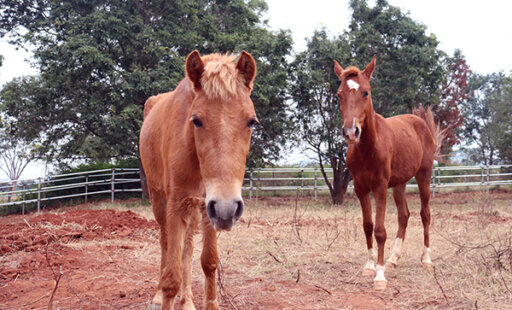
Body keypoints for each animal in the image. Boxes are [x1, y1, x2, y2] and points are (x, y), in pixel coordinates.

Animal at [140, 49, 258, 308]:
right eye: (196, 120)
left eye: (251, 121)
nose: (227, 206)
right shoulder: (176, 204)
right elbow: (171, 277)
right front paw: (165, 294)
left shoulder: (208, 207)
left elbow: (208, 261)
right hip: (159, 200)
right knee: (165, 243)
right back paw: (158, 295)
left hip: (194, 209)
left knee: (187, 249)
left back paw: (188, 300)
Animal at [332, 55, 444, 290]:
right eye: (339, 94)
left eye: (366, 92)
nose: (351, 132)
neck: (368, 148)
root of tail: (421, 124)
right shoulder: (361, 188)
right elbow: (367, 226)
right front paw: (369, 266)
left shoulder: (380, 188)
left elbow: (380, 230)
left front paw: (380, 276)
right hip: (400, 184)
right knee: (404, 215)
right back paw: (393, 259)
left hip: (424, 177)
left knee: (425, 214)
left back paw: (426, 259)